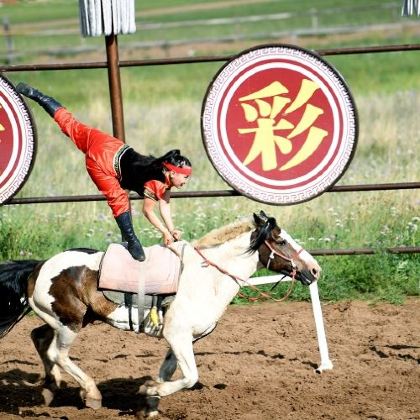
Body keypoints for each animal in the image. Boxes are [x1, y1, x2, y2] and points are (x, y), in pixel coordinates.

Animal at [0, 212, 322, 416]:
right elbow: (190, 377)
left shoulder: (181, 339)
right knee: (58, 353)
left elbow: (167, 371)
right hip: (70, 323)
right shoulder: (177, 335)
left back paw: (50, 388)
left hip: (67, 319)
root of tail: (39, 266)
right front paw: (149, 391)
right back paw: (89, 394)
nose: (315, 269)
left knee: (39, 338)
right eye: (281, 241)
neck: (207, 278)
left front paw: (150, 403)